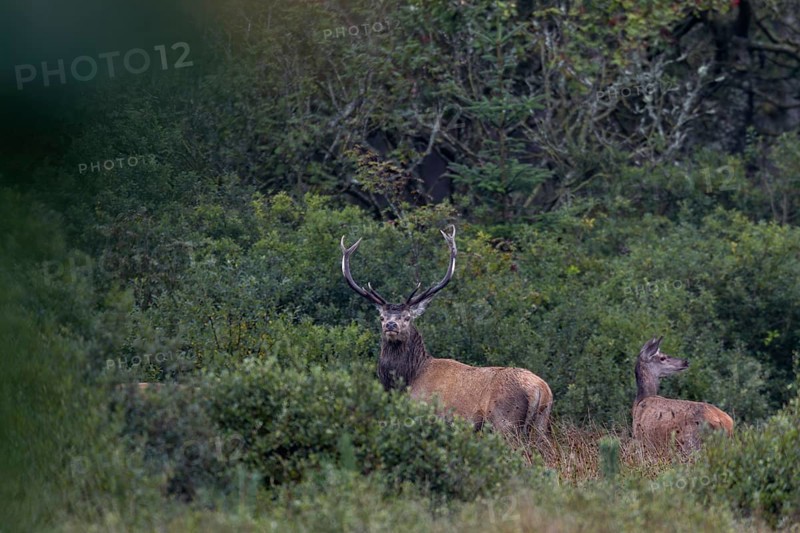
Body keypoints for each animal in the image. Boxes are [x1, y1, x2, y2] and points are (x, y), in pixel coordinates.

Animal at [340, 225, 553, 449]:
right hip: (541, 424)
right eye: (381, 316)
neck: (408, 380)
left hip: (505, 423)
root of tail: (540, 390)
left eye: (407, 317)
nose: (391, 325)